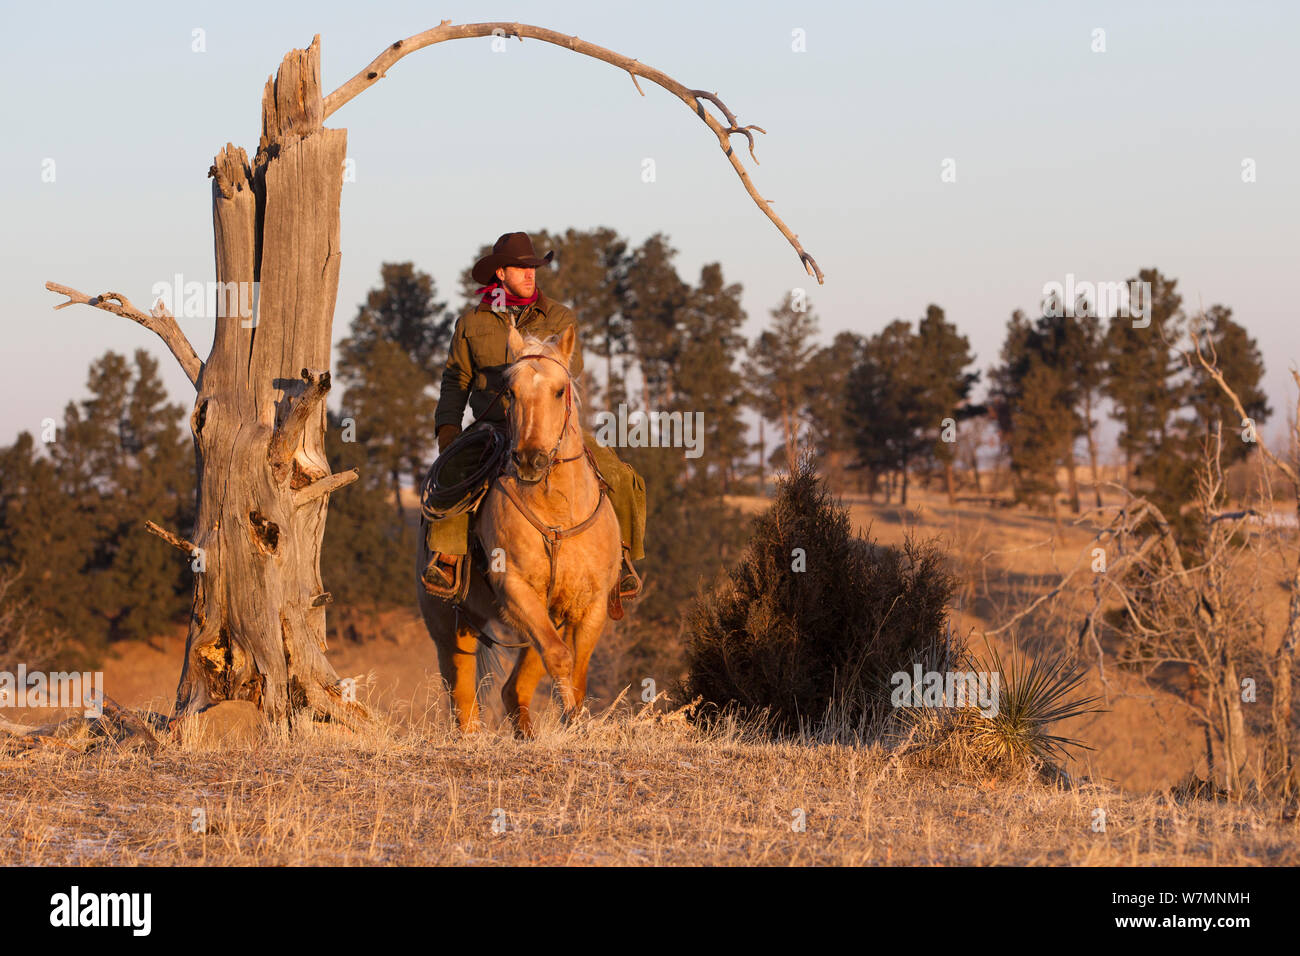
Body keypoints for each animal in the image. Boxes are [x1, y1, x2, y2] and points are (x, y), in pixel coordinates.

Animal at [416, 324, 622, 736]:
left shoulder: (590, 605)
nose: (530, 460)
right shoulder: (515, 588)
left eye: (559, 390)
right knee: (463, 696)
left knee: (513, 689)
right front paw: (570, 719)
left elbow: (576, 670)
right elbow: (559, 656)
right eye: (510, 391)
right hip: (448, 626)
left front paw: (575, 720)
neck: (557, 510)